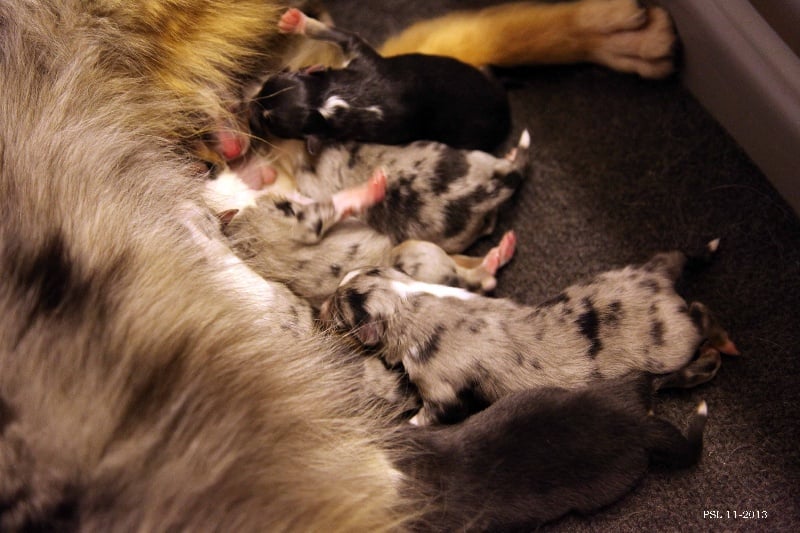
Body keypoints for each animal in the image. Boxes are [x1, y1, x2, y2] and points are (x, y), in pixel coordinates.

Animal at [250, 8, 512, 152]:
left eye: (268, 121)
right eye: (284, 73)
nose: (251, 102)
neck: (331, 103)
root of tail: (505, 112)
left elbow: (341, 33)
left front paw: (296, 21)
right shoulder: (361, 57)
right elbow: (341, 35)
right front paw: (296, 21)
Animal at [318, 241, 736, 424]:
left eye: (338, 316)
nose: (318, 308)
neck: (410, 300)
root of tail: (662, 284)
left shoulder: (441, 389)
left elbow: (433, 412)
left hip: (673, 343)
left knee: (701, 318)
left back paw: (724, 342)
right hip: (642, 273)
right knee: (678, 257)